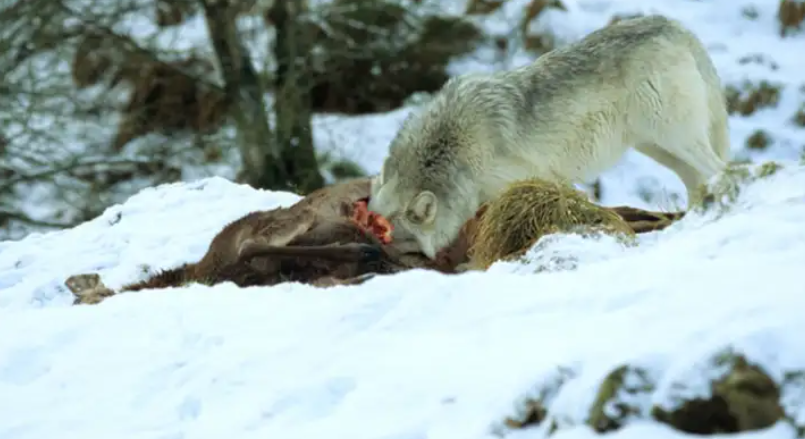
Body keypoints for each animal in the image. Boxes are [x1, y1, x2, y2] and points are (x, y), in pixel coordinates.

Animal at [368, 14, 731, 259]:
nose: (373, 261)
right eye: (374, 234)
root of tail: (672, 24)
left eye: (395, 241)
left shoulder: (538, 181)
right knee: (697, 182)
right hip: (660, 149)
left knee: (720, 169)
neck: (454, 147)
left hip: (676, 138)